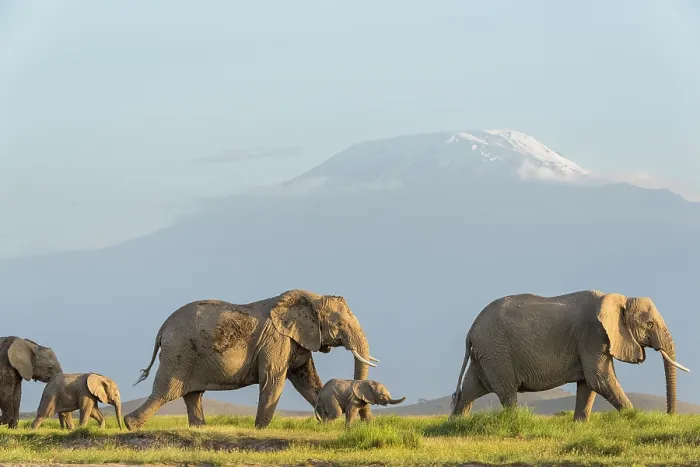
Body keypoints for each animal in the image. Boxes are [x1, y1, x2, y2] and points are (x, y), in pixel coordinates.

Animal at [124, 289, 379, 431]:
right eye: (340, 324)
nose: (366, 424)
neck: (312, 298)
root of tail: (162, 329)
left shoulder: (298, 339)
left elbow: (307, 380)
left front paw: (328, 421)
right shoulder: (277, 340)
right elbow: (274, 380)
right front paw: (261, 429)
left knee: (192, 395)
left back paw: (200, 429)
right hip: (178, 354)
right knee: (165, 392)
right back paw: (130, 425)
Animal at [449, 290, 689, 422]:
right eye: (649, 324)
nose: (669, 416)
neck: (618, 299)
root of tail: (471, 329)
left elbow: (588, 384)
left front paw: (580, 425)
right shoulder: (593, 335)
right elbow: (599, 379)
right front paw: (635, 418)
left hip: (486, 353)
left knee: (469, 390)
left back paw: (455, 426)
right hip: (497, 351)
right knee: (507, 393)